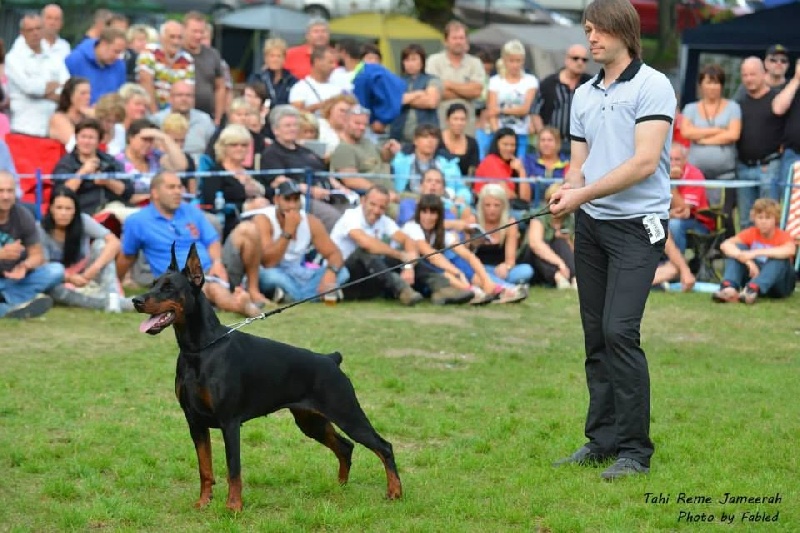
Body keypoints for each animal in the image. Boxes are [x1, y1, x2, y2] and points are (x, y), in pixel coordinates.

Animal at [132, 243, 402, 511]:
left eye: (169, 287)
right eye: (153, 283)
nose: (136, 300)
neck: (200, 350)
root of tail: (330, 359)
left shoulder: (229, 422)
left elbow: (234, 469)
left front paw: (233, 507)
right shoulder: (194, 421)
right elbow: (205, 468)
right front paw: (203, 503)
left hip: (347, 413)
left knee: (383, 447)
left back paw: (395, 492)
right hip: (310, 421)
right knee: (346, 447)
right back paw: (341, 486)